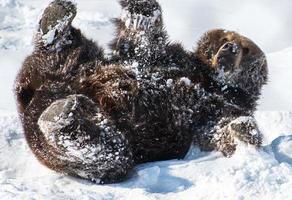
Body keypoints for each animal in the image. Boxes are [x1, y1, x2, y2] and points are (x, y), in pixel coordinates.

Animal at [14, 0, 268, 184]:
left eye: (246, 48)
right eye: (224, 38)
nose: (229, 47)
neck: (210, 80)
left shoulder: (218, 108)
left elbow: (221, 129)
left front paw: (243, 128)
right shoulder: (168, 59)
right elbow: (143, 42)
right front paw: (140, 9)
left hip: (118, 140)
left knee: (109, 154)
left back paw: (62, 115)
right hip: (73, 69)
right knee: (65, 53)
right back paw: (55, 21)